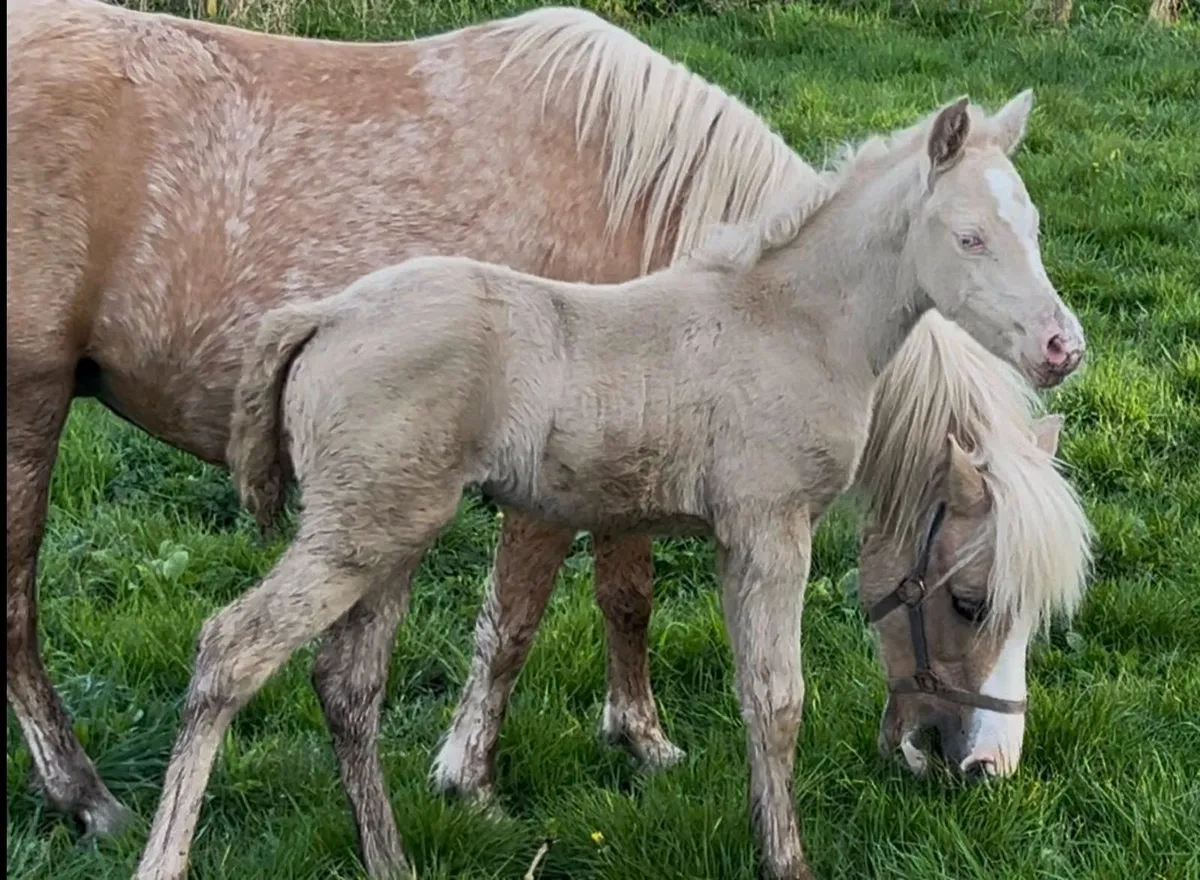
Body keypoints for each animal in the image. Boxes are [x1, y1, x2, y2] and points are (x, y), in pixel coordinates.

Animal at [444, 309, 1092, 795]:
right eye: (968, 604)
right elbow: (512, 621)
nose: (993, 766)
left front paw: (640, 739)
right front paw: (467, 781)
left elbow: (627, 600)